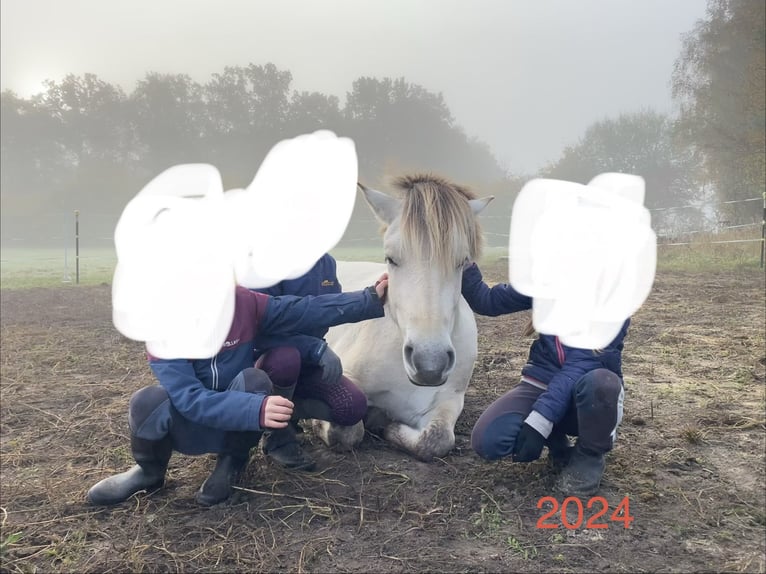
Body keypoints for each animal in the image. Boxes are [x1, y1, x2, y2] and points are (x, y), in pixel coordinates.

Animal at [312, 174, 493, 461]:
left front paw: (389, 426)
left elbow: (436, 439)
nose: (429, 363)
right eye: (390, 258)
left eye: (462, 262)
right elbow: (346, 432)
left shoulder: (449, 401)